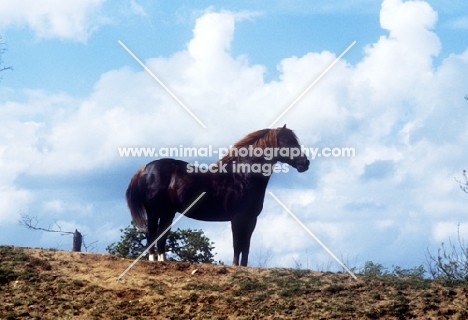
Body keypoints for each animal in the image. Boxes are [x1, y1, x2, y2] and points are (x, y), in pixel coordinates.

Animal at [127, 126, 310, 266]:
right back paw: (153, 261)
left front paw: (244, 267)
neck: (243, 175)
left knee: (161, 237)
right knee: (151, 234)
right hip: (154, 212)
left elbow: (246, 245)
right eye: (288, 142)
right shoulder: (237, 218)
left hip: (167, 213)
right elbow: (237, 244)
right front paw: (235, 266)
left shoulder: (251, 219)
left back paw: (162, 261)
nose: (305, 163)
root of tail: (145, 169)